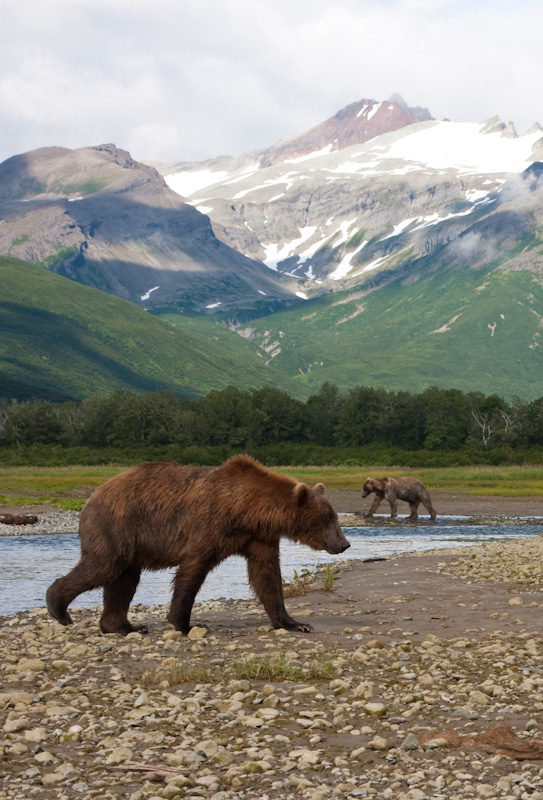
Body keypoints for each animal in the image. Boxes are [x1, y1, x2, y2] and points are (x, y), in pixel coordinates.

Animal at [47, 456, 352, 636]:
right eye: (329, 518)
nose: (344, 543)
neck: (247, 511)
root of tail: (93, 495)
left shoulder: (258, 538)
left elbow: (266, 575)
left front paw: (295, 623)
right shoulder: (209, 525)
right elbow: (192, 570)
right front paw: (184, 622)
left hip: (131, 541)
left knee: (124, 579)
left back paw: (123, 626)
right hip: (117, 524)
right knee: (104, 566)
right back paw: (58, 607)